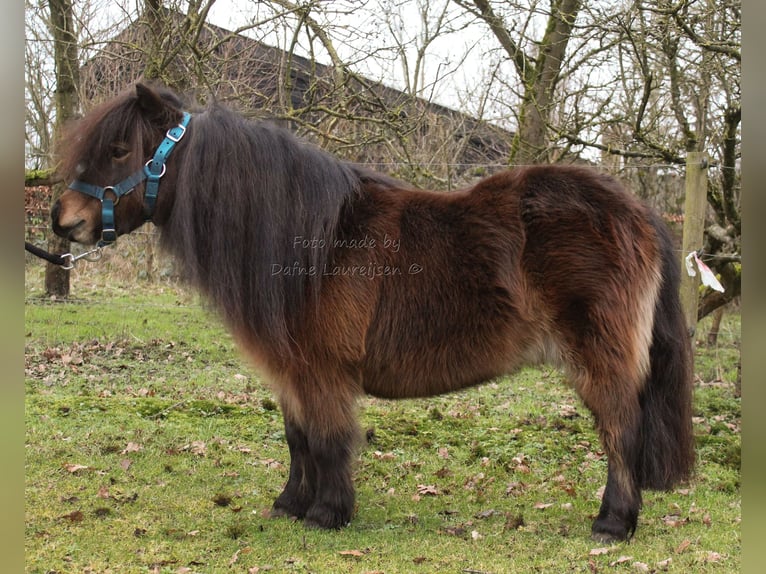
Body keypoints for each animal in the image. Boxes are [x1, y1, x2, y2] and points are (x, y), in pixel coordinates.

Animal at [49, 82, 696, 544]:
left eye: (118, 150)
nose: (63, 220)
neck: (311, 242)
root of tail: (635, 210)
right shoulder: (292, 372)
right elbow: (297, 436)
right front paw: (291, 504)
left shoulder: (323, 371)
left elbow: (328, 437)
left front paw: (327, 512)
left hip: (599, 357)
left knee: (620, 431)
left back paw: (613, 523)